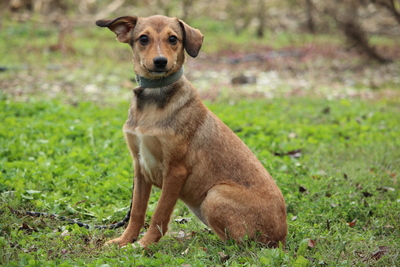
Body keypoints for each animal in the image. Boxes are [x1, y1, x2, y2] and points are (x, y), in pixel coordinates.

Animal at [95, 14, 286, 249]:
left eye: (173, 39)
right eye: (143, 39)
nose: (160, 61)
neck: (154, 97)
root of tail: (281, 238)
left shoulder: (176, 171)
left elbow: (159, 214)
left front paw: (144, 245)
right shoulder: (140, 167)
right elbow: (137, 212)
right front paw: (124, 241)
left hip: (214, 194)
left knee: (242, 245)